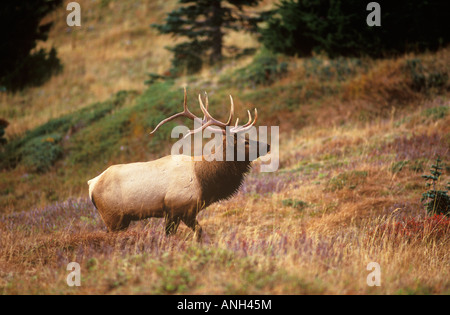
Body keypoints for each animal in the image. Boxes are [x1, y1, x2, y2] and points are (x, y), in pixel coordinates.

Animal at [89, 89, 268, 239]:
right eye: (245, 142)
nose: (267, 145)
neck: (204, 181)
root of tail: (91, 185)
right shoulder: (179, 208)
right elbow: (196, 233)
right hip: (113, 217)